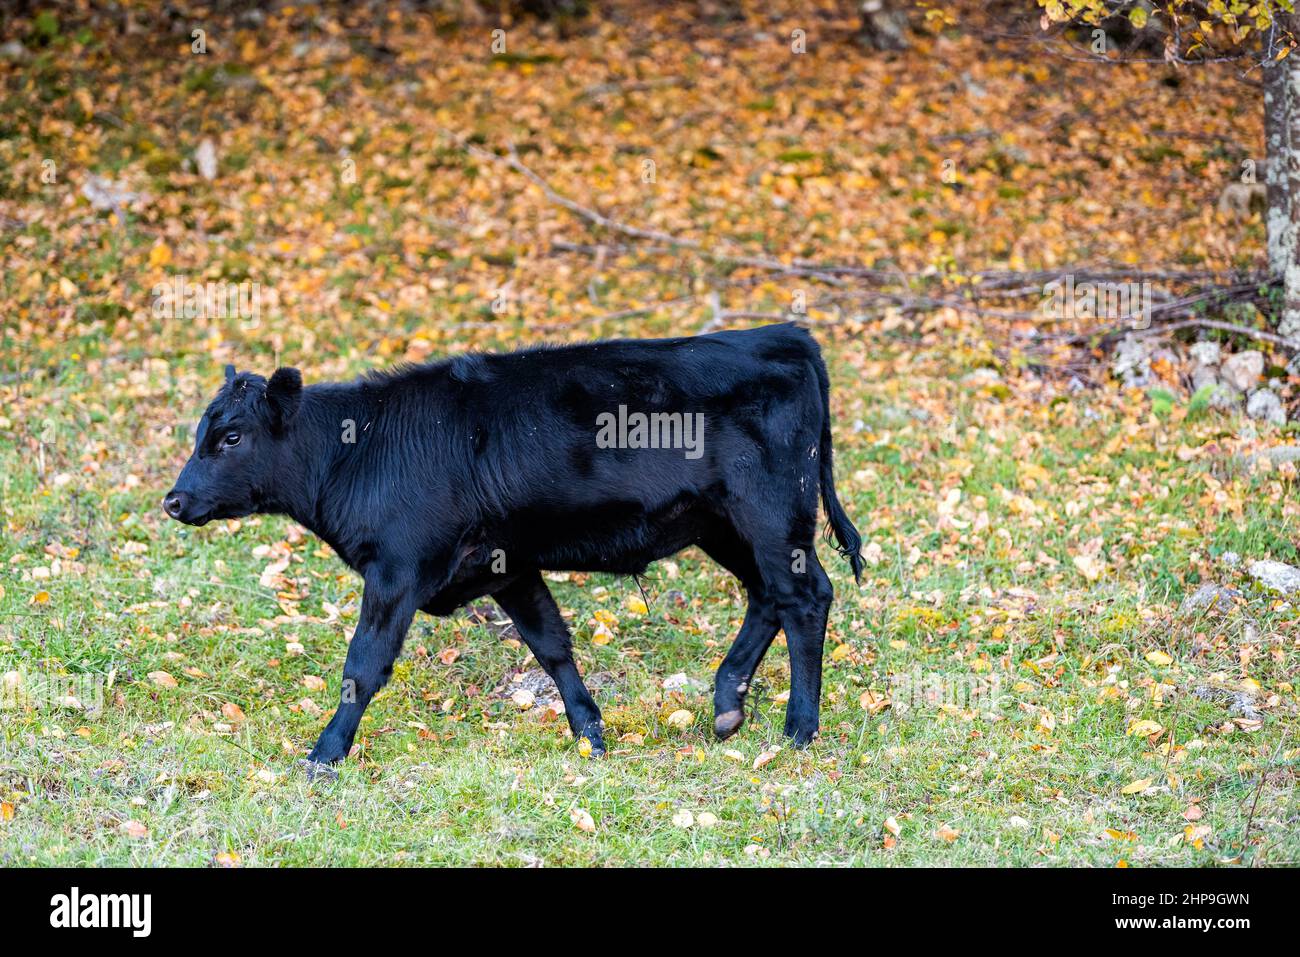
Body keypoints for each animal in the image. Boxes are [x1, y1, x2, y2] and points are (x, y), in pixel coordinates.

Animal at [165, 323, 863, 769]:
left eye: (230, 438)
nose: (173, 501)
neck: (357, 449)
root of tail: (782, 335)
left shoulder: (396, 569)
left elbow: (363, 666)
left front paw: (324, 753)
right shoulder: (507, 567)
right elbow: (550, 643)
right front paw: (590, 732)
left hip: (770, 512)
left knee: (804, 598)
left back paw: (799, 728)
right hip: (723, 524)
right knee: (768, 596)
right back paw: (726, 704)